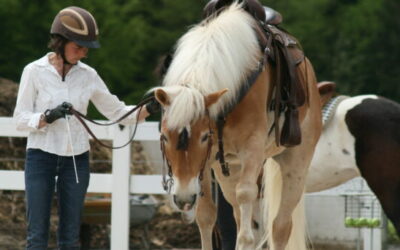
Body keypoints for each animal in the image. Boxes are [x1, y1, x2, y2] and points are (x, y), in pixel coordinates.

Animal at [153, 0, 322, 249]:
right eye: (164, 137)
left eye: (204, 136)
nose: (183, 198)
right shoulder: (205, 164)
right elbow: (206, 215)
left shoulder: (252, 149)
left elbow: (246, 202)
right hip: (228, 169)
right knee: (238, 214)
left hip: (296, 163)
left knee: (280, 226)